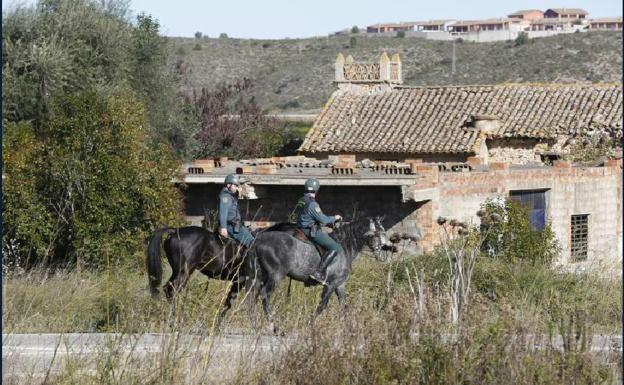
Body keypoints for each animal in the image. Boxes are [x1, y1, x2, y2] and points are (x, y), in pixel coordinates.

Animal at [147, 222, 302, 318]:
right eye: (300, 236)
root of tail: (175, 231)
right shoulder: (245, 282)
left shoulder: (238, 282)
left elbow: (227, 304)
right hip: (183, 273)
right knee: (172, 290)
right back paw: (176, 318)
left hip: (179, 273)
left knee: (169, 289)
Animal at [246, 216, 392, 328]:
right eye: (380, 233)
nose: (385, 254)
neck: (345, 246)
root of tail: (258, 240)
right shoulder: (330, 285)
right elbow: (322, 305)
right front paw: (309, 324)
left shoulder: (339, 285)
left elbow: (343, 306)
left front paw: (348, 327)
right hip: (276, 276)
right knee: (265, 296)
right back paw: (274, 326)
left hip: (259, 276)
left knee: (252, 297)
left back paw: (254, 325)